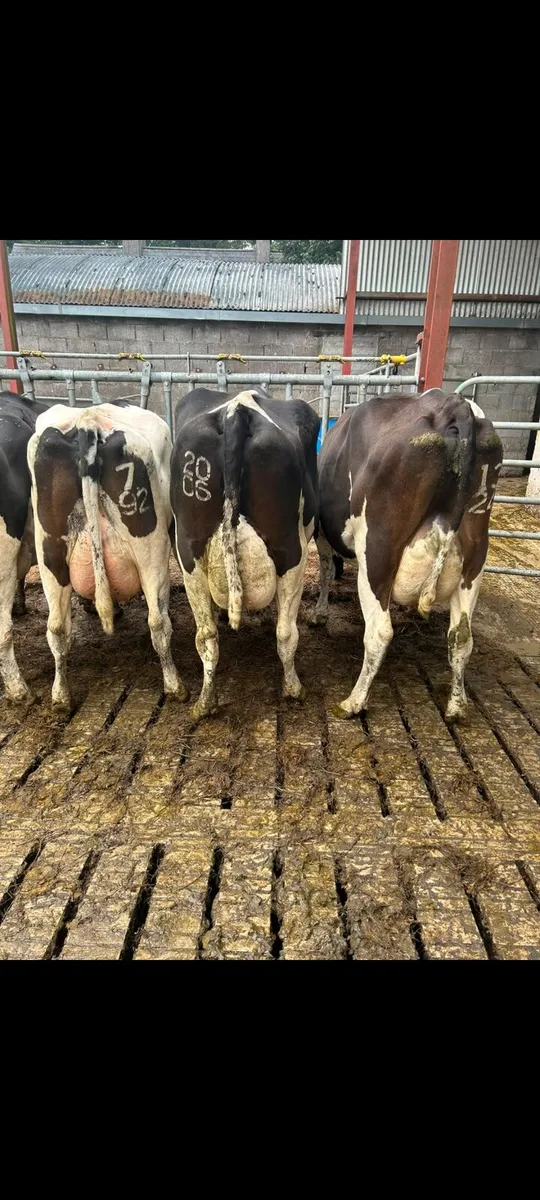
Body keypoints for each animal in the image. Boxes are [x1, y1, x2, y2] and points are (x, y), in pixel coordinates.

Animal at [27, 402, 186, 710]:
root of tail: (88, 422)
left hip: (50, 554)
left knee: (57, 627)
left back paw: (61, 697)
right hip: (149, 548)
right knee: (157, 622)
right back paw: (175, 686)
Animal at [170, 388, 320, 721]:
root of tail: (237, 410)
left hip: (188, 549)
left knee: (206, 635)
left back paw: (205, 702)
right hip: (291, 550)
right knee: (286, 632)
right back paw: (294, 689)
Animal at [312, 389, 503, 722]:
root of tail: (453, 406)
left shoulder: (323, 533)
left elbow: (324, 569)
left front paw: (320, 613)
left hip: (377, 550)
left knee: (379, 632)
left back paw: (353, 702)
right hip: (476, 555)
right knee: (461, 637)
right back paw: (457, 705)